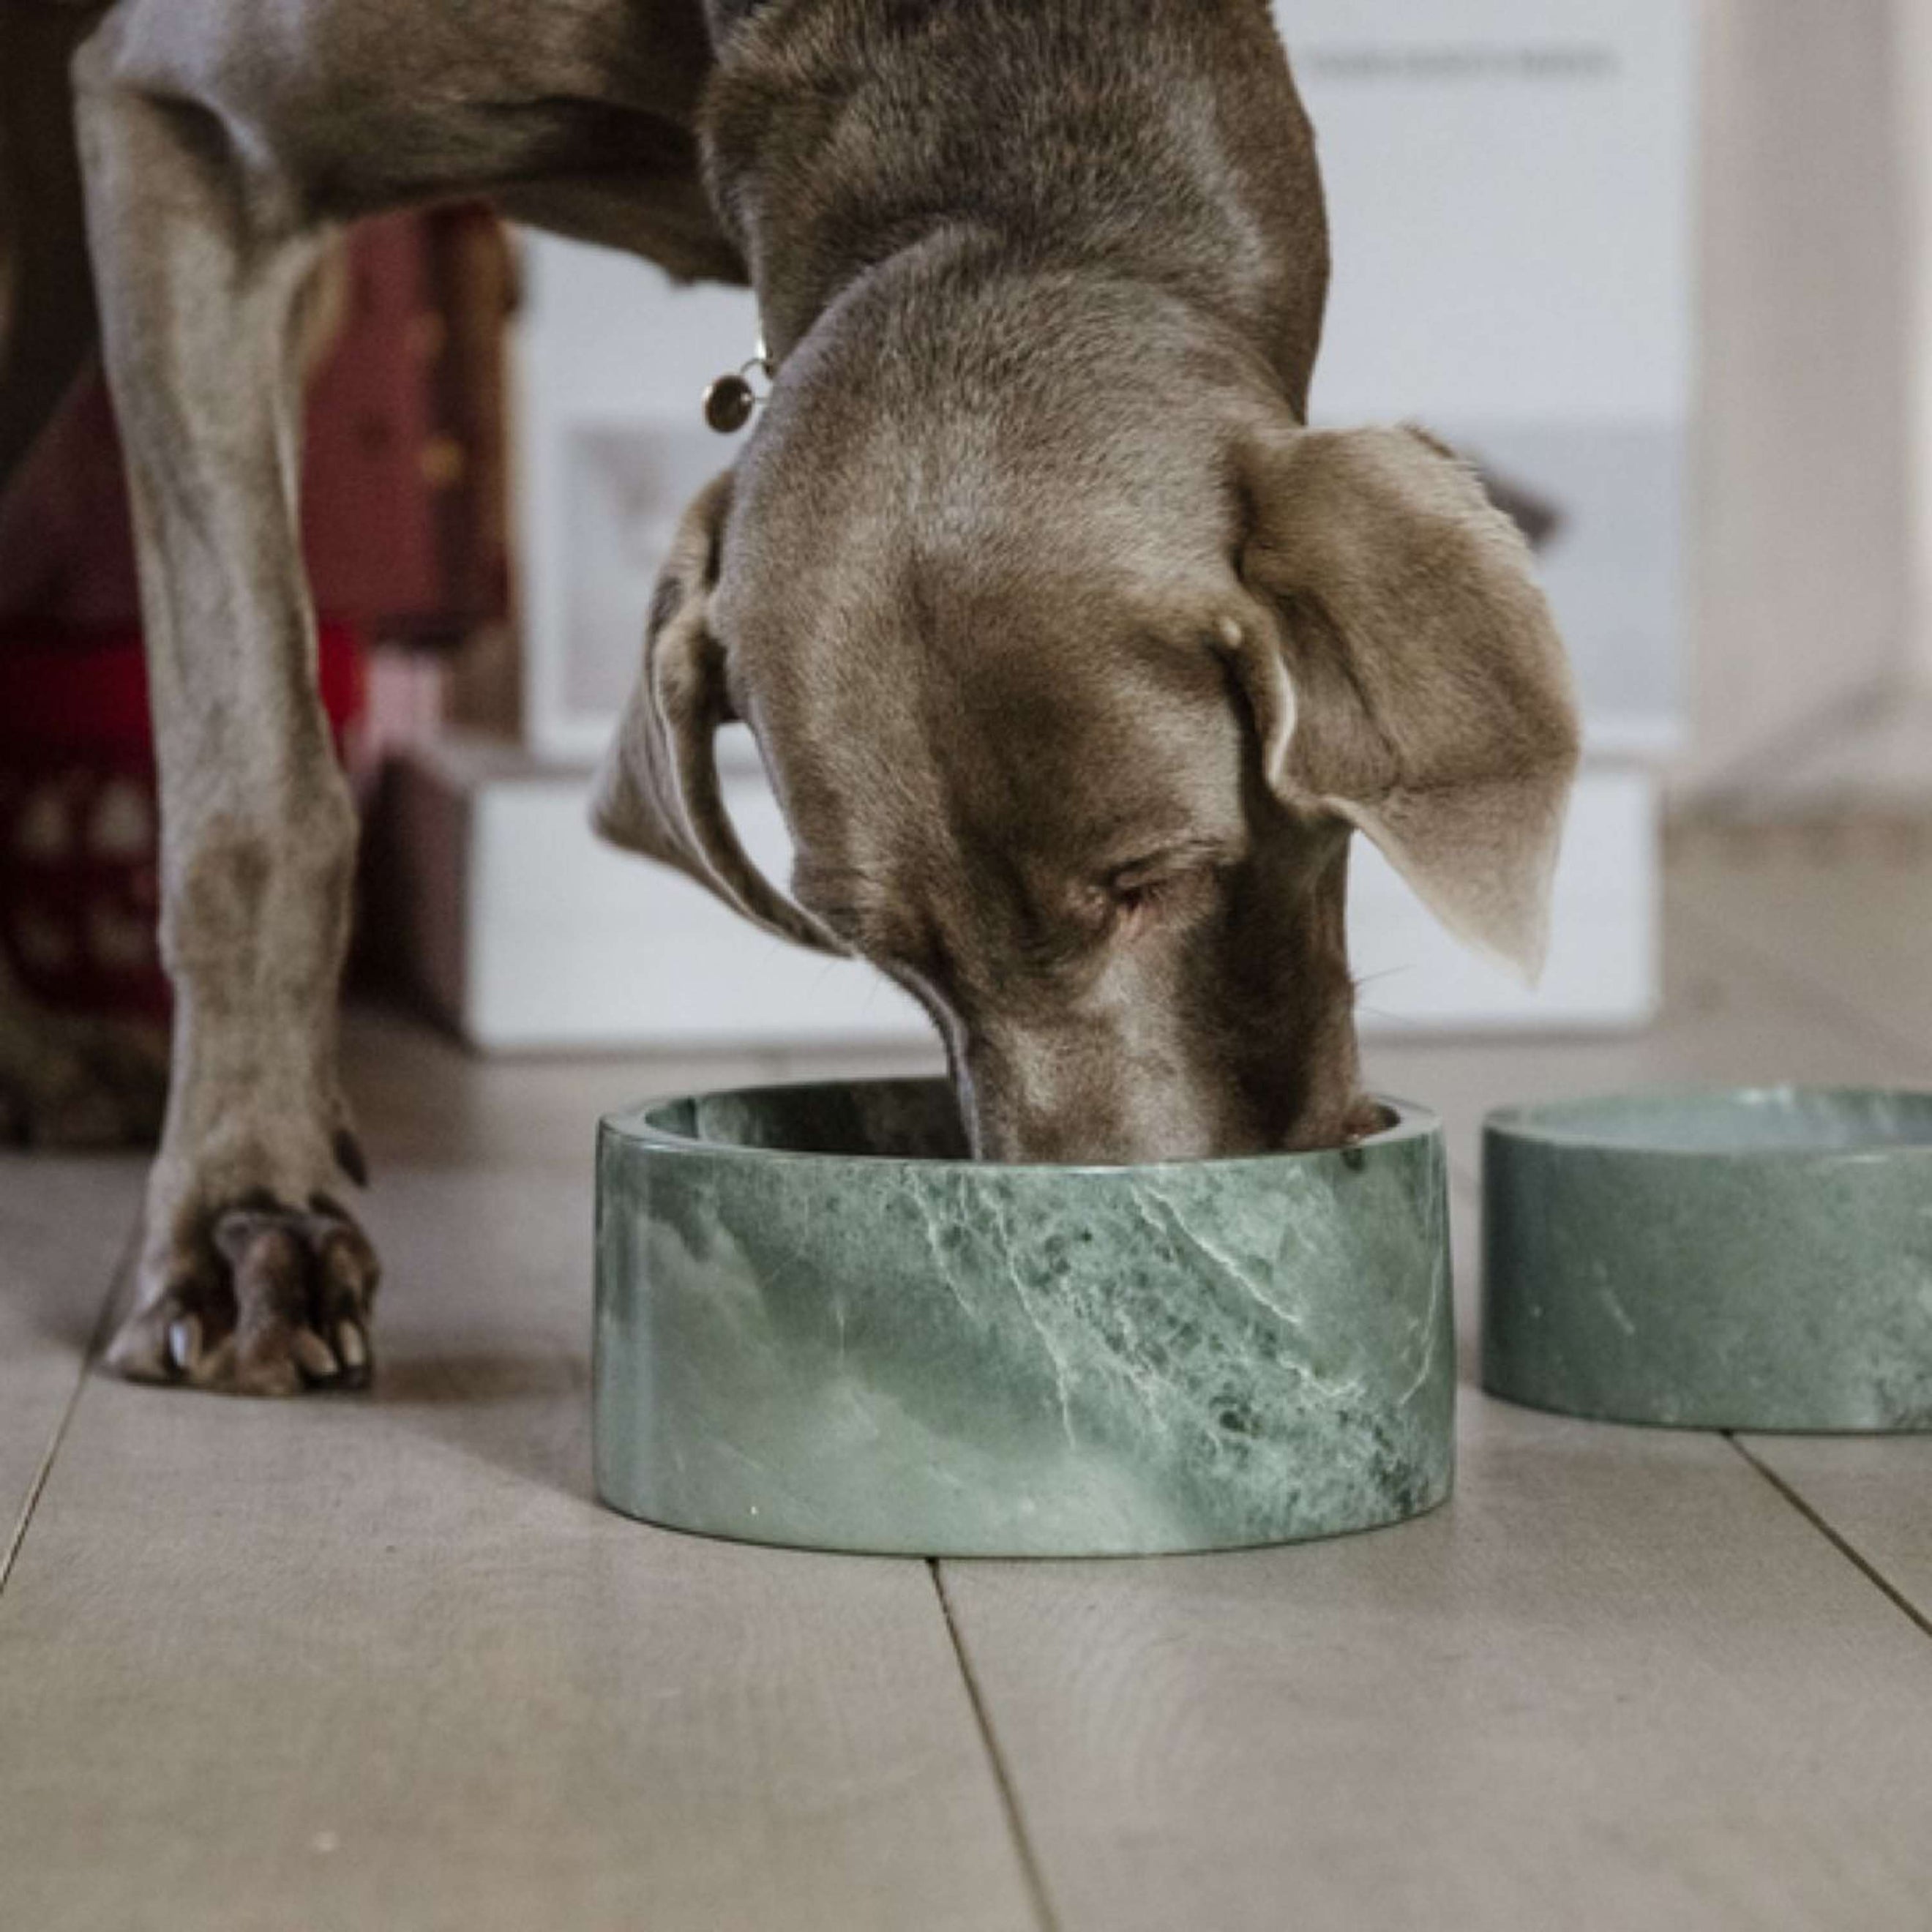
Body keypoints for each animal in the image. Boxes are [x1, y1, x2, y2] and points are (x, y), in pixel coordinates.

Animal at [0, 0, 1568, 1390]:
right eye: (879, 948)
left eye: (1157, 881)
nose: (1115, 1269)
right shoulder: (185, 130)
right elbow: (256, 783)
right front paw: (241, 1220)